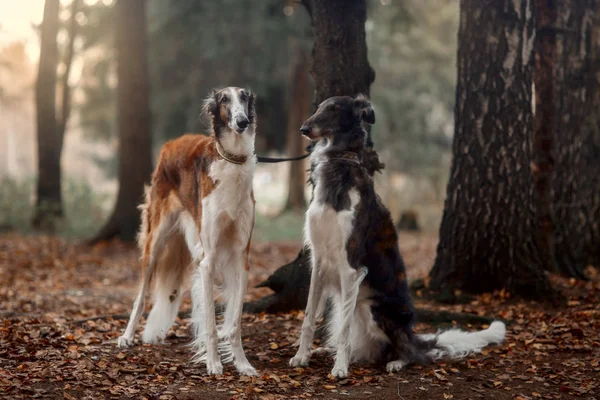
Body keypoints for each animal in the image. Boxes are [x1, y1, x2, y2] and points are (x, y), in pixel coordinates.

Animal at [117, 86, 258, 376]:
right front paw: (214, 364)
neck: (232, 161)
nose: (242, 122)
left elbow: (235, 323)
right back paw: (127, 336)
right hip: (155, 241)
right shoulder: (209, 259)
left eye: (244, 97)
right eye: (224, 99)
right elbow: (212, 324)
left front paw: (242, 364)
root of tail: (170, 144)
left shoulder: (241, 257)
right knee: (140, 295)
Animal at [290, 94, 506, 378]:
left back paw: (396, 361)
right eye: (318, 108)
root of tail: (413, 335)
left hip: (374, 309)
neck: (341, 165)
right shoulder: (319, 262)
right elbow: (308, 317)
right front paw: (301, 356)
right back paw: (328, 351)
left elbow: (344, 330)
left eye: (334, 109)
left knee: (412, 354)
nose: (304, 129)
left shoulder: (351, 266)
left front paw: (340, 369)